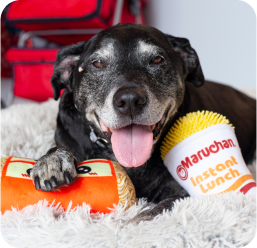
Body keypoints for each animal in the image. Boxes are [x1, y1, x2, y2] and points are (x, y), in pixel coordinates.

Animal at [30, 23, 256, 223]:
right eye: (98, 63)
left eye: (157, 59)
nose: (129, 100)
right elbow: (59, 149)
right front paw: (52, 161)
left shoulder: (182, 194)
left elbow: (150, 214)